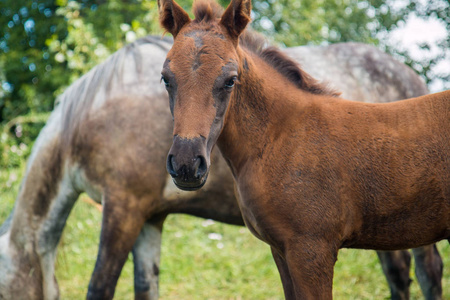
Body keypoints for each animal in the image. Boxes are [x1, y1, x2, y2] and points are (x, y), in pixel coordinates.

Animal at [0, 36, 442, 298]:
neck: (91, 116)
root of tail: (410, 77)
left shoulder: (123, 206)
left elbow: (100, 286)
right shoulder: (149, 217)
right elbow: (146, 285)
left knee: (428, 270)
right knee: (398, 271)